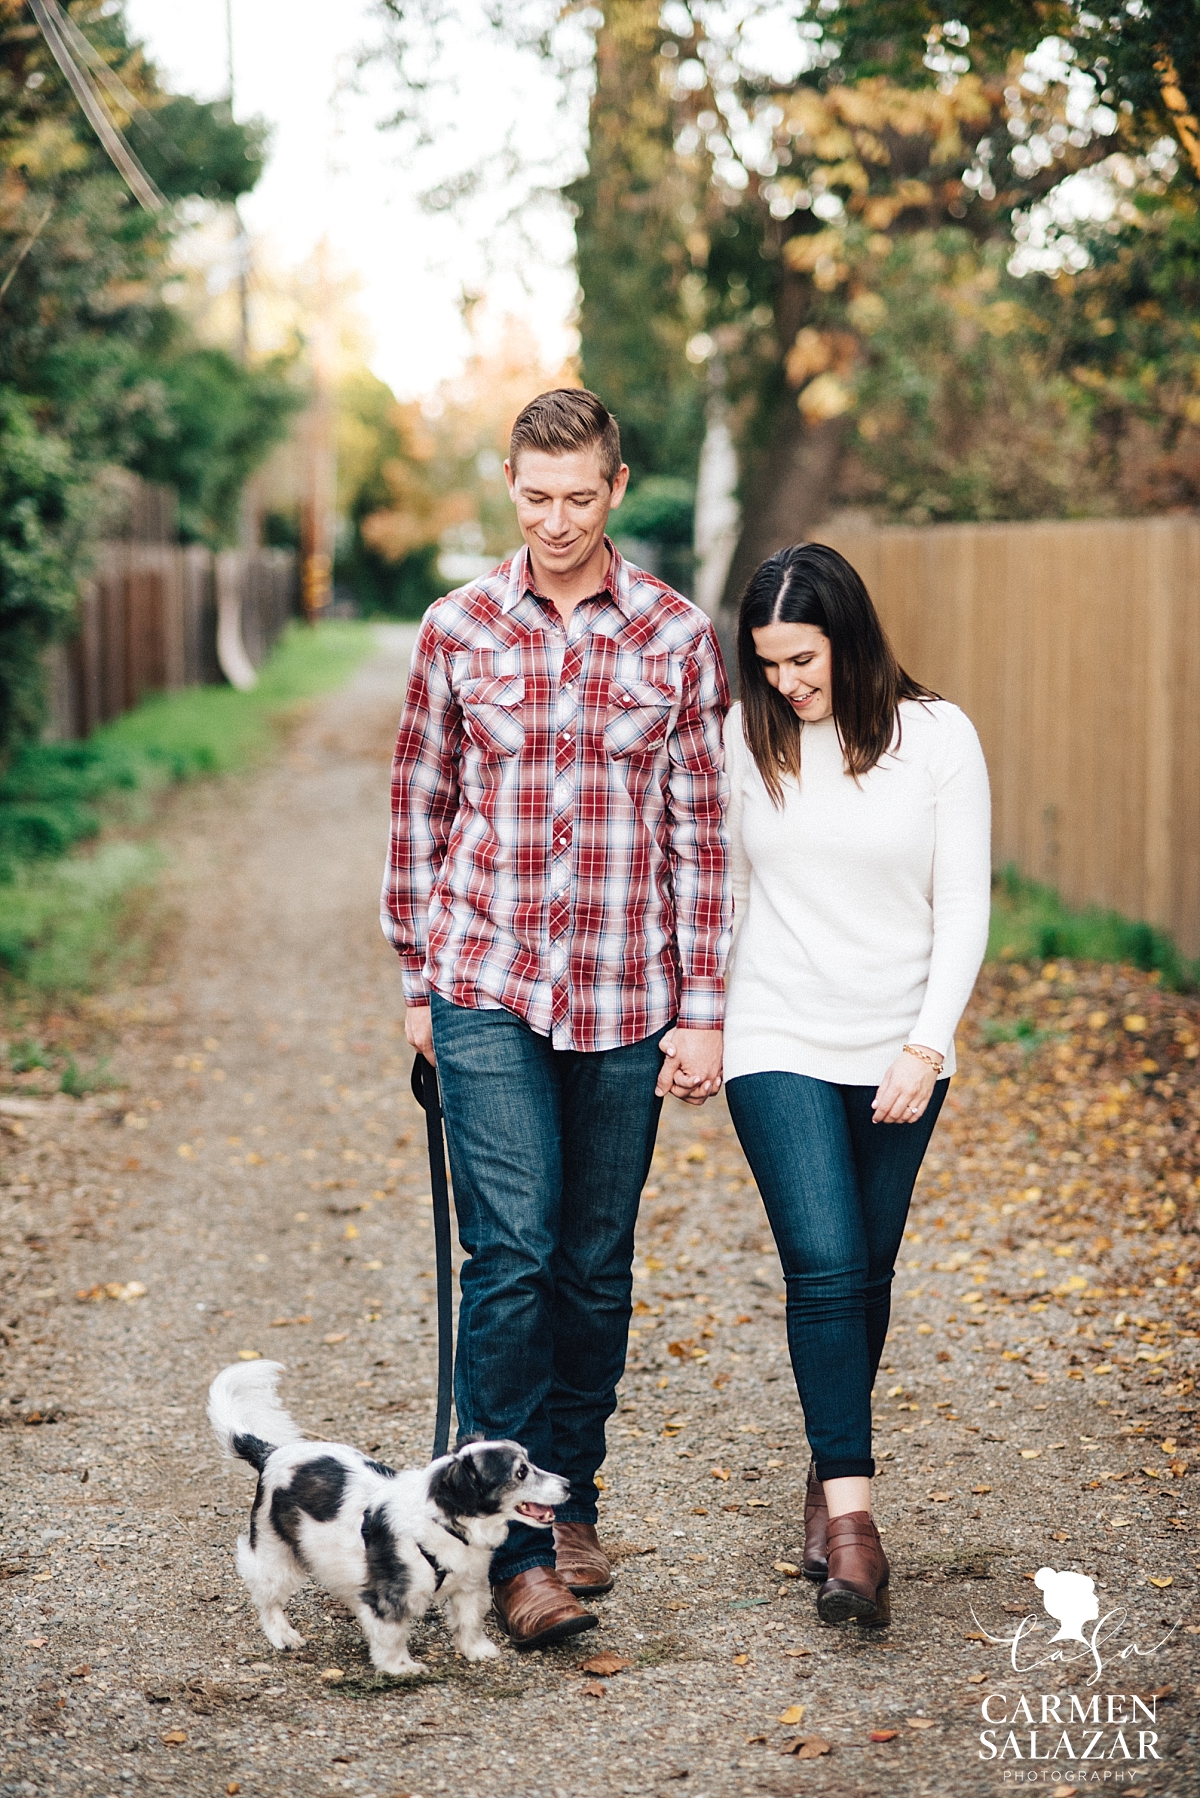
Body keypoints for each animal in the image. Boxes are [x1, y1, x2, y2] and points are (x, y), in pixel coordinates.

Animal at [207, 1359, 568, 1668]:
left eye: (530, 1462)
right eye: (520, 1472)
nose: (568, 1484)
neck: (443, 1524)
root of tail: (271, 1453)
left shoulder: (469, 1585)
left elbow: (469, 1622)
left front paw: (476, 1650)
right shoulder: (389, 1594)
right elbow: (391, 1634)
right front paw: (400, 1668)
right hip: (275, 1554)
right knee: (267, 1598)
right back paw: (282, 1634)